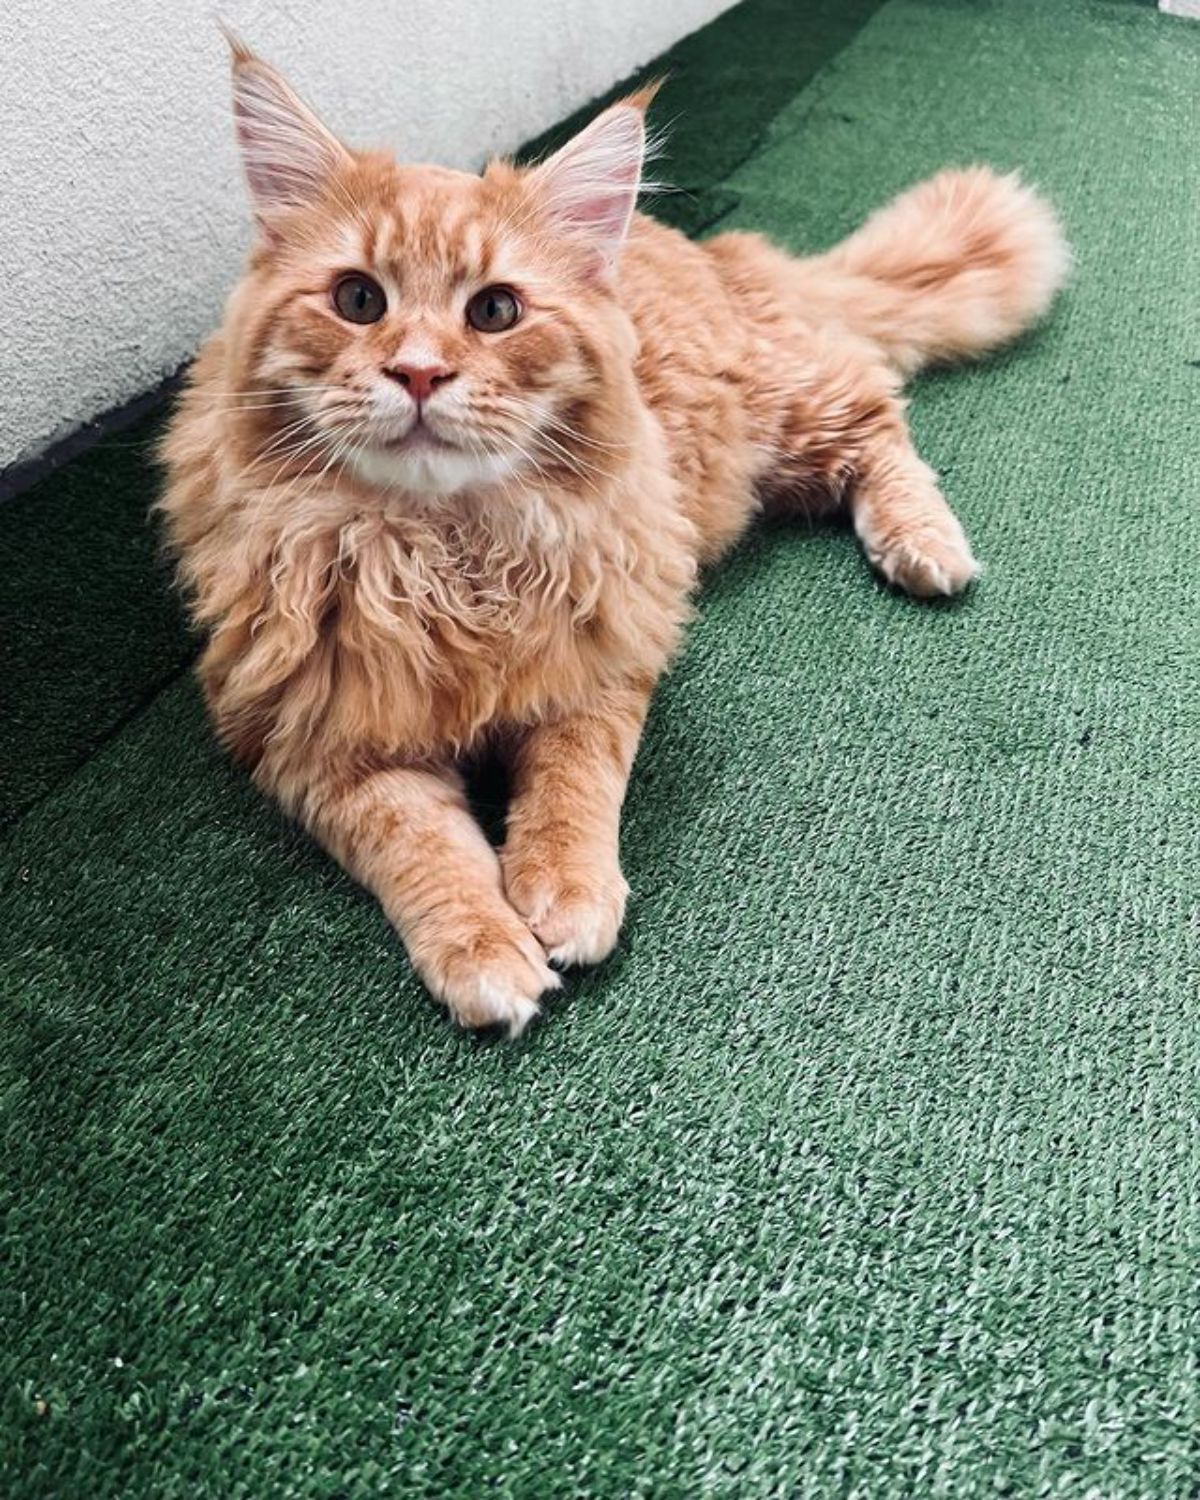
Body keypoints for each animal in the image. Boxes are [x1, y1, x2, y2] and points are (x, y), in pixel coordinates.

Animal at [159, 43, 1068, 1032]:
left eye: (495, 312)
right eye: (358, 299)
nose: (419, 373)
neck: (443, 550)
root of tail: (714, 249)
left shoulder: (602, 664)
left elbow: (572, 788)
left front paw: (567, 892)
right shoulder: (310, 738)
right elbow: (418, 846)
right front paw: (483, 949)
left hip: (785, 414)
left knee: (877, 413)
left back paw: (926, 546)